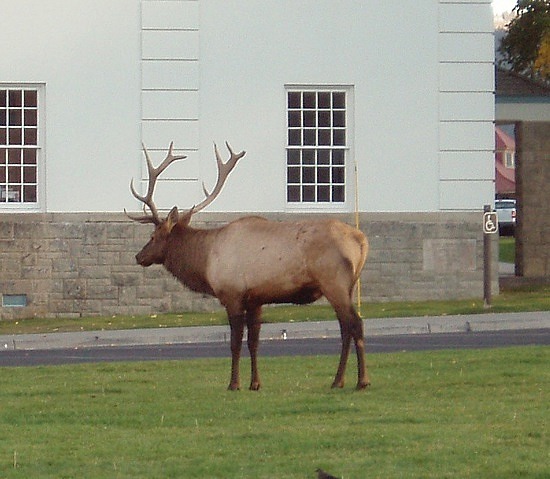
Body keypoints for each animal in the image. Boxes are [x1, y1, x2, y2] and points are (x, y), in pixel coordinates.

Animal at [129, 141, 370, 392]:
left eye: (153, 236)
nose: (138, 256)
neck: (206, 261)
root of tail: (361, 240)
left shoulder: (232, 294)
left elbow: (235, 343)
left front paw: (233, 383)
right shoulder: (256, 299)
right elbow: (254, 342)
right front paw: (255, 383)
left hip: (334, 283)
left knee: (355, 323)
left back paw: (359, 380)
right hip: (348, 287)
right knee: (346, 327)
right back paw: (340, 380)